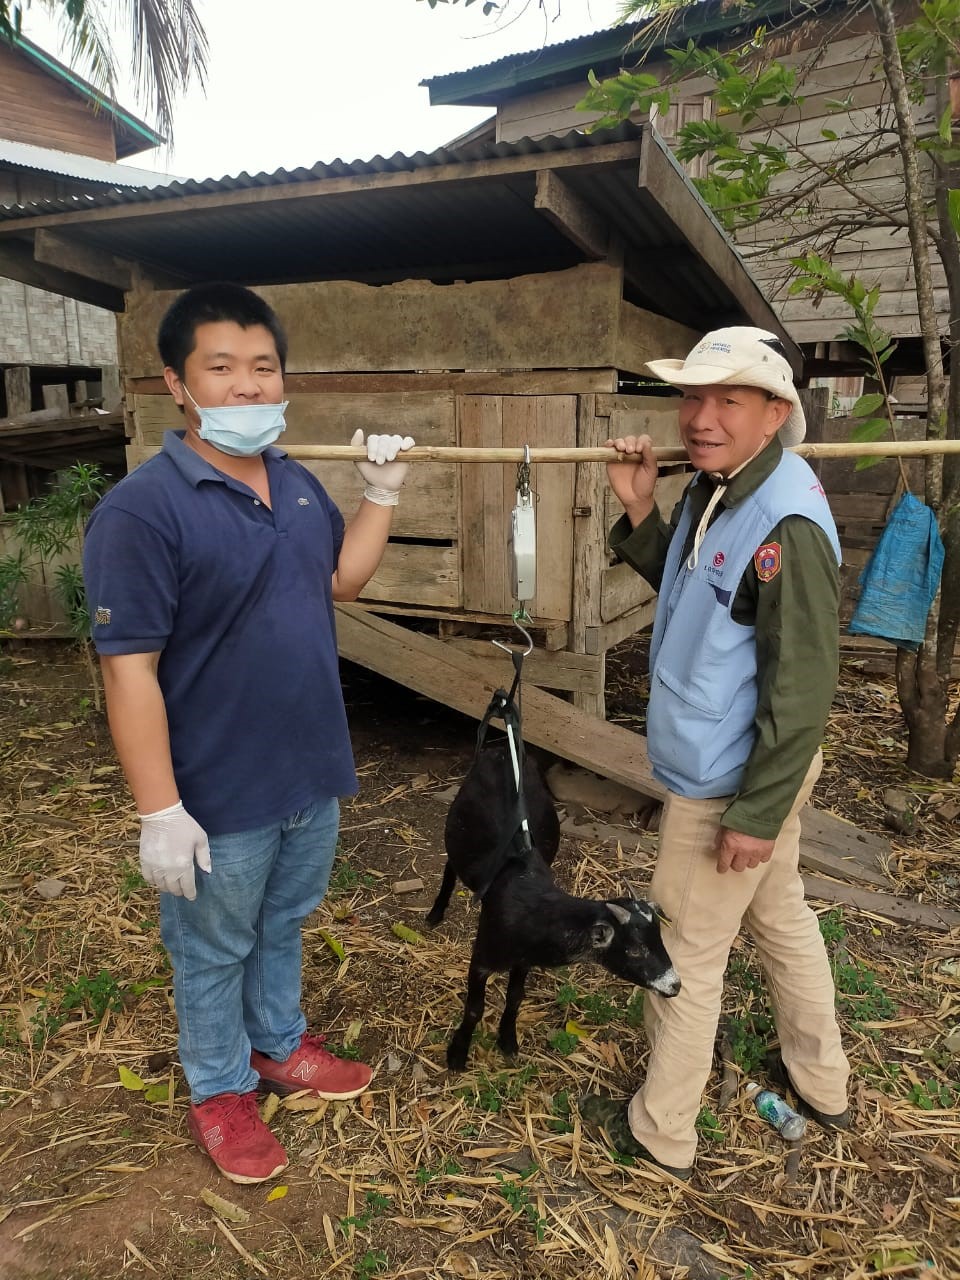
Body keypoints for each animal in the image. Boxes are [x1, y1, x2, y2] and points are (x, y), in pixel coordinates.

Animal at [427, 742, 686, 1070]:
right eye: (635, 950)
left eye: (659, 940)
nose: (675, 985)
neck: (533, 910)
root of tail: (500, 750)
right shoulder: (482, 958)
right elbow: (474, 1007)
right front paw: (458, 1054)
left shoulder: (524, 960)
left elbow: (515, 997)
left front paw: (508, 1040)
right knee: (450, 866)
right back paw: (436, 912)